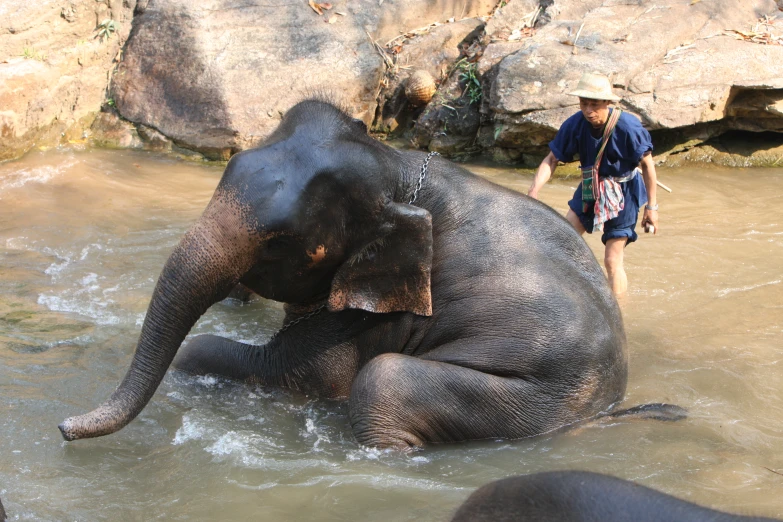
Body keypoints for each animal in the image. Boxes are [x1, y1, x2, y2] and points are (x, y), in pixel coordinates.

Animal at [58, 100, 680, 446]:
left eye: (281, 243)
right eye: (228, 167)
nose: (63, 427)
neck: (397, 169)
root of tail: (606, 410)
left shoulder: (374, 314)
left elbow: (299, 371)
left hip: (540, 399)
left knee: (384, 384)